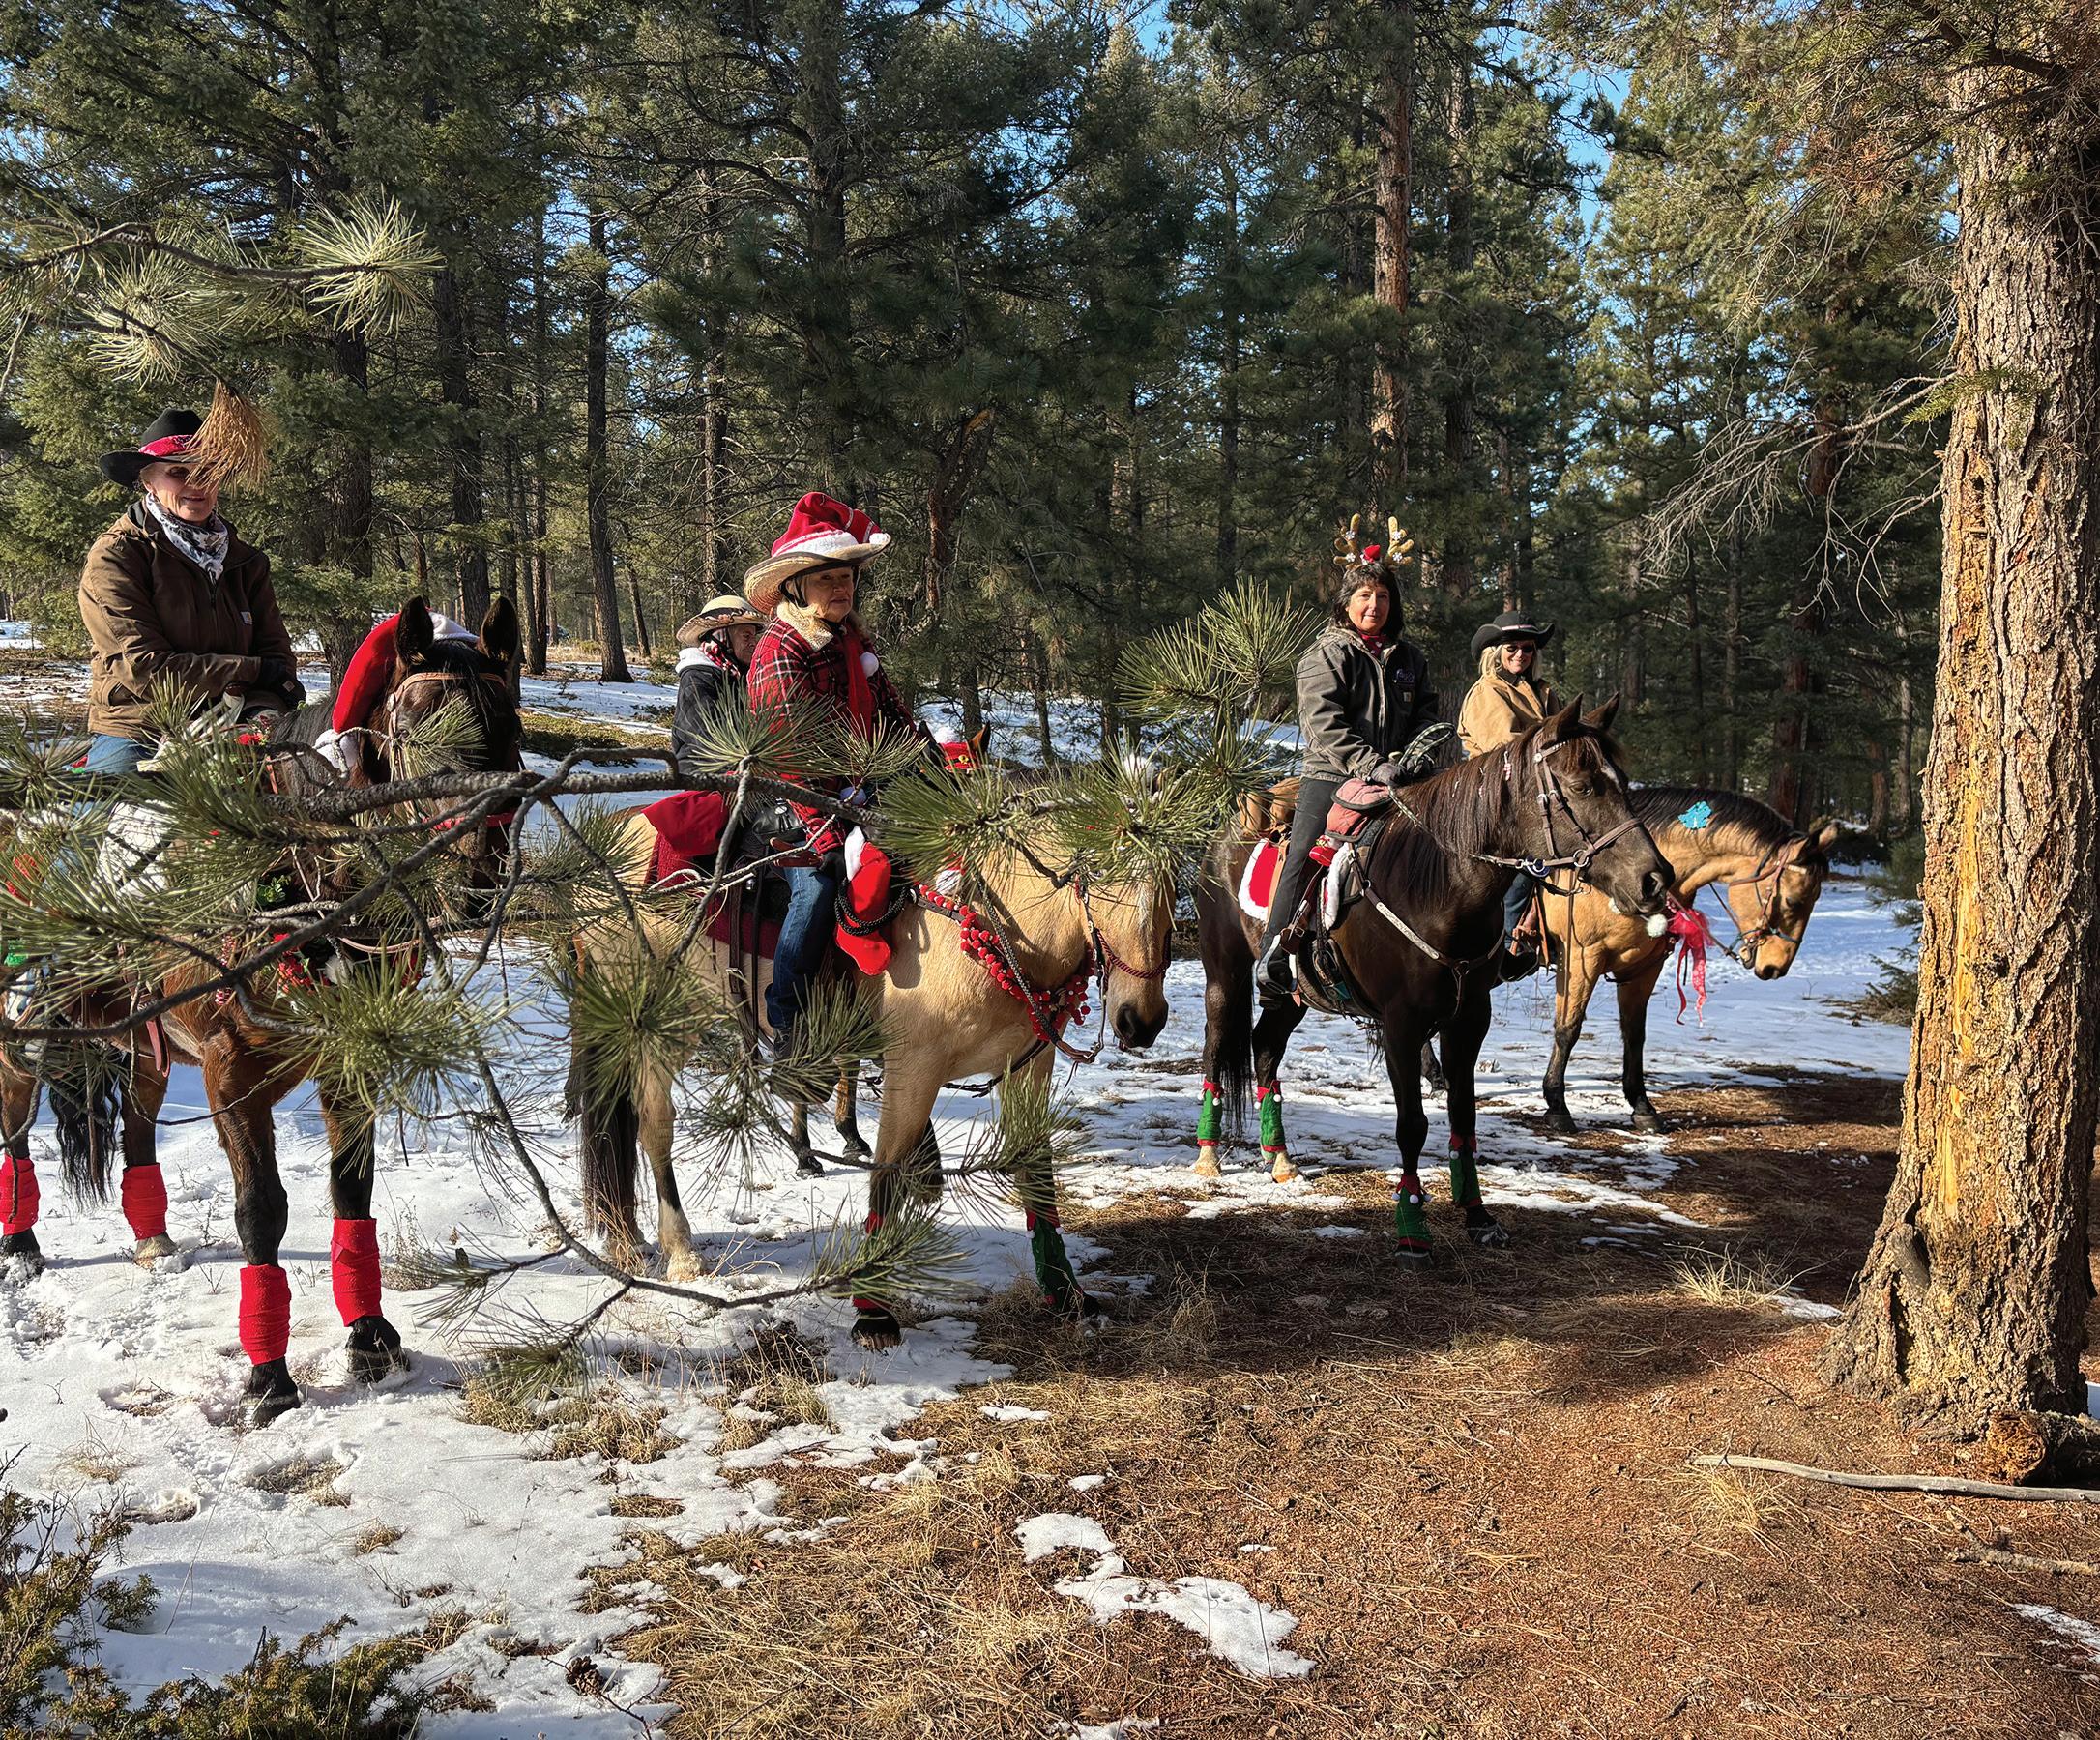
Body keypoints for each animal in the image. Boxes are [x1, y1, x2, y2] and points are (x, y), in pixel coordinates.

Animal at [0, 597, 523, 1427]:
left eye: (510, 727)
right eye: (416, 731)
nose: (477, 881)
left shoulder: (350, 1063)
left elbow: (351, 1189)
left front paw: (369, 1339)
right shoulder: (231, 1075)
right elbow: (262, 1211)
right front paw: (269, 1376)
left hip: (147, 1046)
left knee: (139, 1131)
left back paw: (153, 1240)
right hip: (26, 1032)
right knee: (15, 1123)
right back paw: (21, 1247)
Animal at [568, 775, 1174, 1347]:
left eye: (1174, 885)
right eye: (1101, 875)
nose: (1140, 1021)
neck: (985, 927)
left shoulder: (1029, 1068)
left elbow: (1036, 1173)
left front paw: (1066, 1292)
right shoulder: (913, 1070)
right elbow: (885, 1176)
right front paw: (874, 1312)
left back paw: (626, 1239)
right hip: (660, 1024)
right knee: (654, 1127)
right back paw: (680, 1250)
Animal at [1194, 698, 1673, 1256]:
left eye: (1622, 782)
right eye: (1582, 787)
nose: (1656, 879)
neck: (1442, 883)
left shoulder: (1468, 1019)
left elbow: (1463, 1116)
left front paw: (1477, 1214)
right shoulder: (1400, 1025)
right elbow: (1412, 1125)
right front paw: (1412, 1224)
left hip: (1292, 995)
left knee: (1267, 1049)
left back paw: (1281, 1160)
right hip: (1224, 974)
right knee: (1217, 1046)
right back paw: (1208, 1155)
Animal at [1530, 788, 1841, 1134]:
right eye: (1792, 901)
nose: (1776, 968)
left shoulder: (1645, 967)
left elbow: (1635, 1035)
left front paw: (1642, 1106)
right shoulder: (1582, 958)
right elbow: (1567, 1029)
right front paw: (1557, 1105)